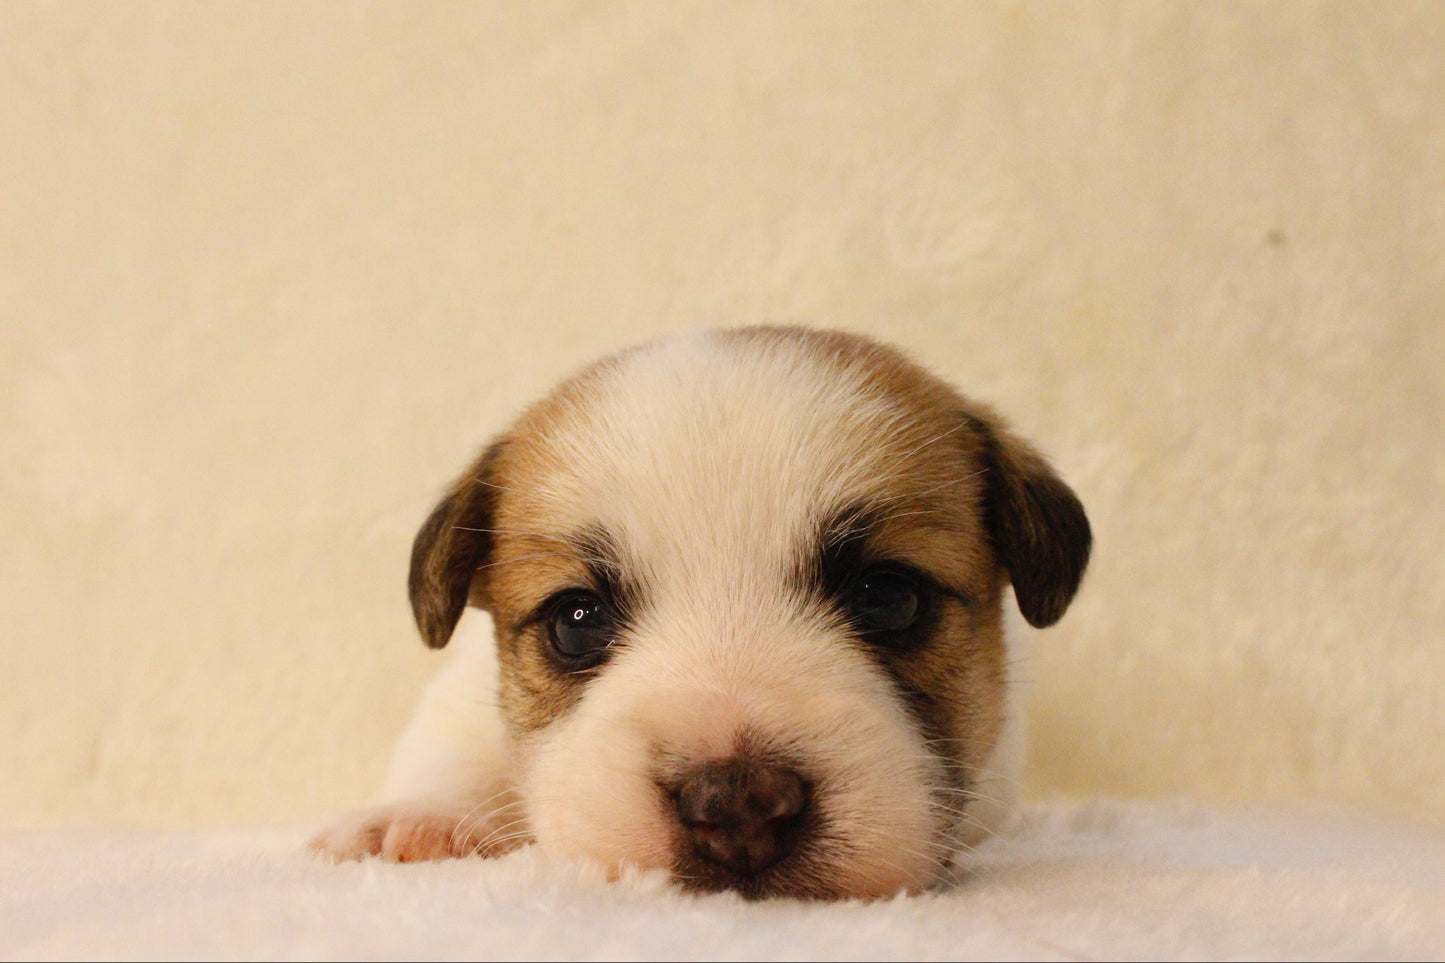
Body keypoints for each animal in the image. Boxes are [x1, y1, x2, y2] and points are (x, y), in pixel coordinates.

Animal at [310, 326, 1086, 896]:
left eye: (890, 598)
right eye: (575, 621)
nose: (737, 803)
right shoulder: (462, 694)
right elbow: (447, 748)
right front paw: (417, 819)